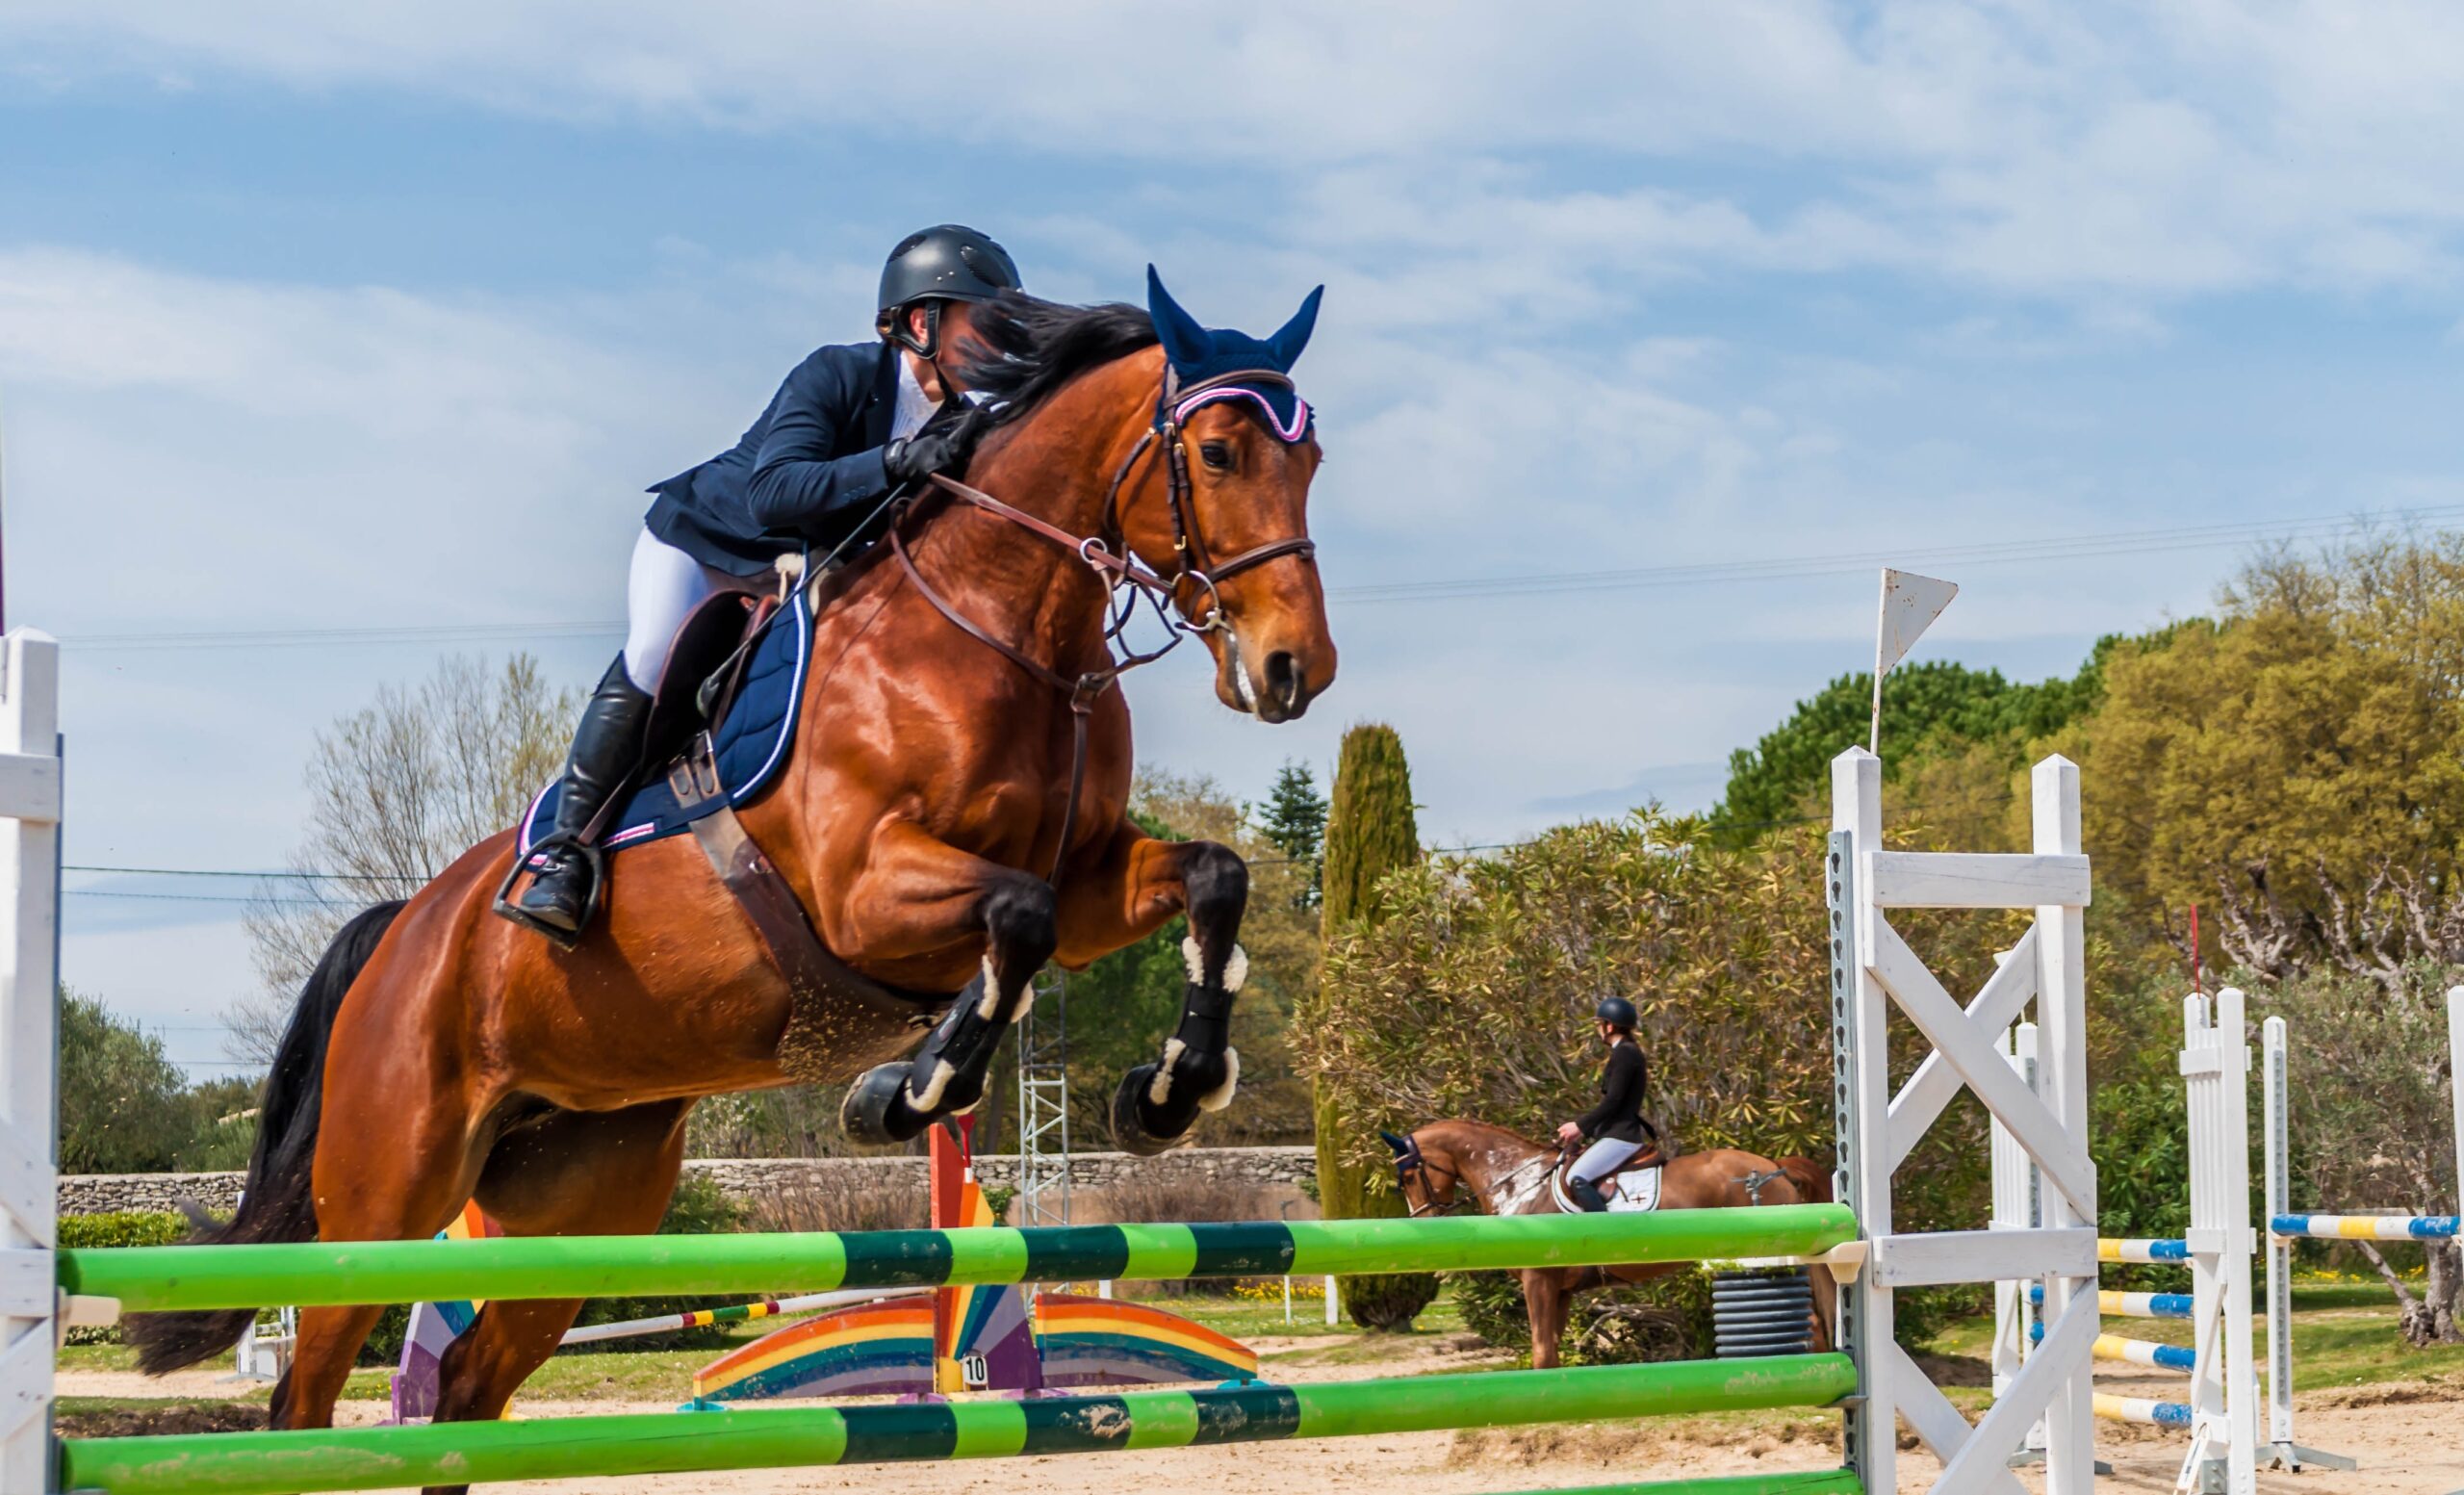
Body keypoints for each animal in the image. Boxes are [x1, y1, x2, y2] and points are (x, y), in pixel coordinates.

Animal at [124, 283, 1340, 1487]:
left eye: (1312, 456)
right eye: (1219, 452)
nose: (1296, 671)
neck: (1002, 627)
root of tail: (402, 929)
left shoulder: (1087, 878)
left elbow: (1210, 877)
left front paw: (1171, 1088)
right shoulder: (864, 890)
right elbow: (1016, 919)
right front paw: (907, 1089)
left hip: (582, 1198)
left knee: (468, 1388)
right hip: (389, 1185)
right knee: (304, 1392)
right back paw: (555, 886)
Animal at [1389, 1122, 1833, 1369]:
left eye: (1408, 1177)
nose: (1423, 1221)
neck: (1520, 1185)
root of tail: (1775, 1166)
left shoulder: (1538, 1282)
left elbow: (1541, 1354)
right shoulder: (1560, 1290)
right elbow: (1552, 1354)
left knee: (1810, 1324)